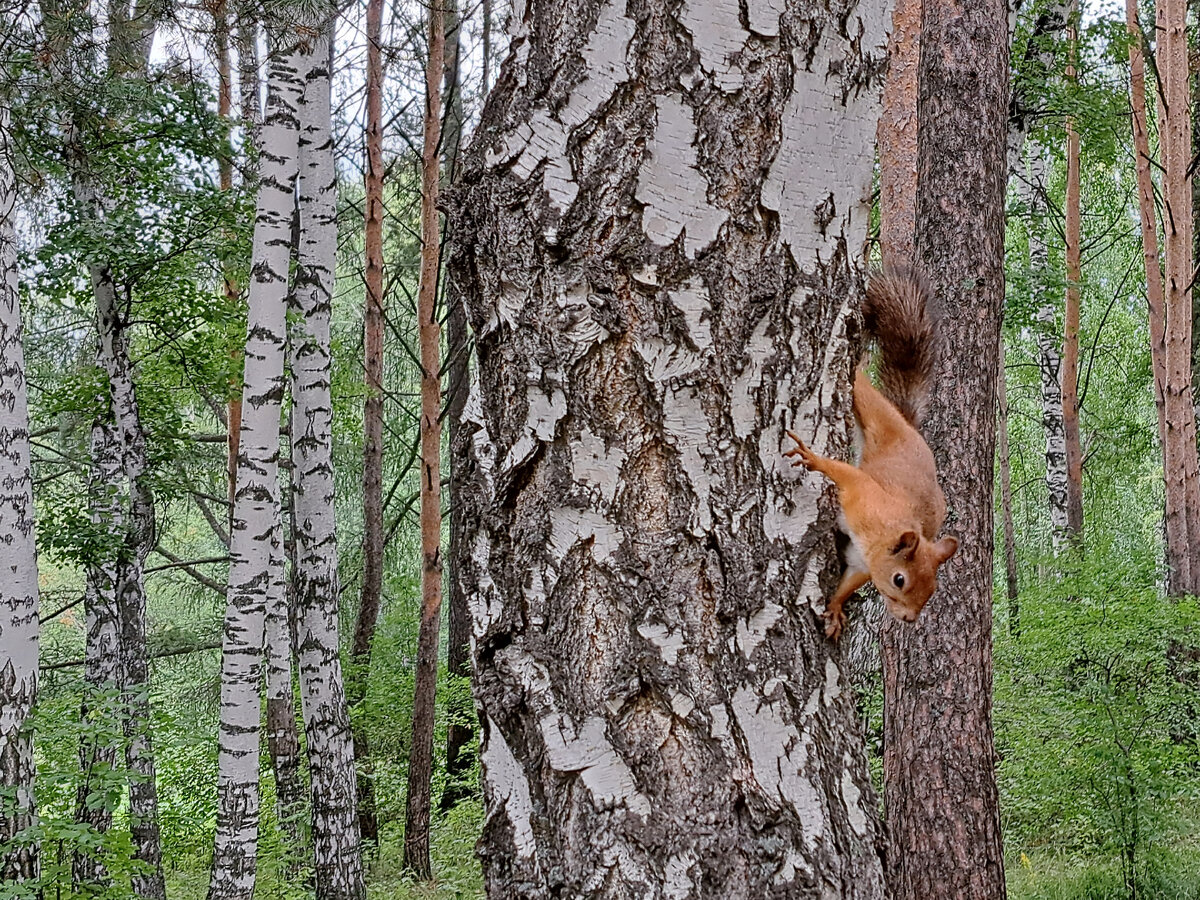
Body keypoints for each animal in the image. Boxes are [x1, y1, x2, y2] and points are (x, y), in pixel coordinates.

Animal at [782, 270, 960, 643]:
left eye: (933, 588)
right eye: (899, 579)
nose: (908, 619)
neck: (881, 533)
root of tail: (907, 425)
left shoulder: (861, 563)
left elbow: (848, 583)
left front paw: (835, 608)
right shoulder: (863, 494)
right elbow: (842, 472)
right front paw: (814, 459)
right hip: (870, 407)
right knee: (860, 384)